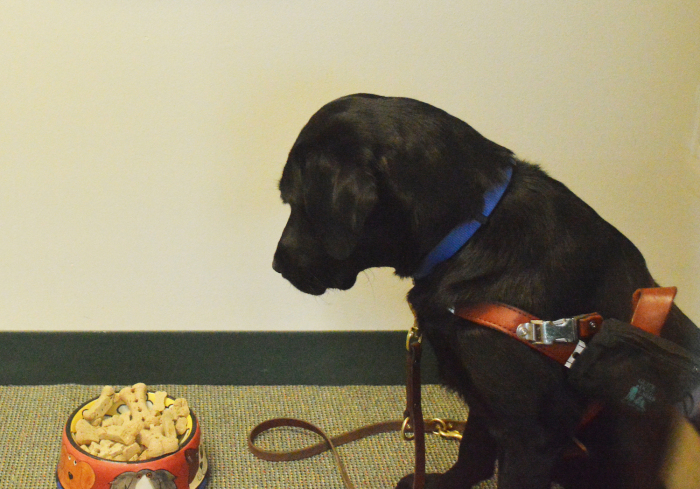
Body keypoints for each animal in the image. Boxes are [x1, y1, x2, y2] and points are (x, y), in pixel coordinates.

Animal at [272, 93, 700, 486]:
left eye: (296, 201)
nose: (276, 266)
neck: (469, 233)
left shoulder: (533, 436)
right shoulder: (483, 395)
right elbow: (473, 449)